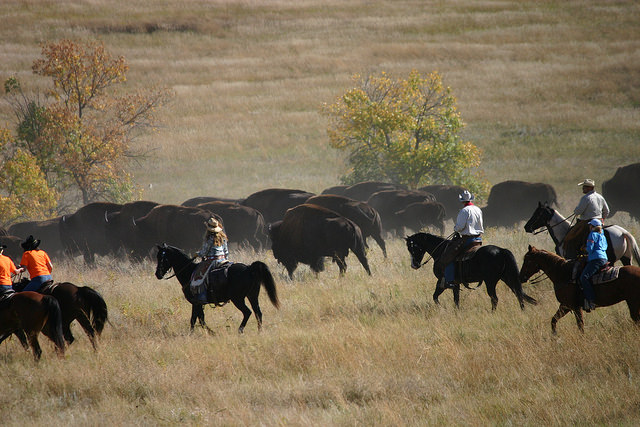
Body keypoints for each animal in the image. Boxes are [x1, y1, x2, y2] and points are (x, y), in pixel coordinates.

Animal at [404, 234, 536, 310]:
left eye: (412, 247)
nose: (414, 265)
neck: (440, 251)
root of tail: (501, 250)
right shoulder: (455, 284)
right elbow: (455, 299)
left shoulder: (442, 281)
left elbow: (436, 297)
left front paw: (442, 309)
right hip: (507, 278)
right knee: (518, 294)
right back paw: (523, 311)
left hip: (490, 281)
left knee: (495, 298)